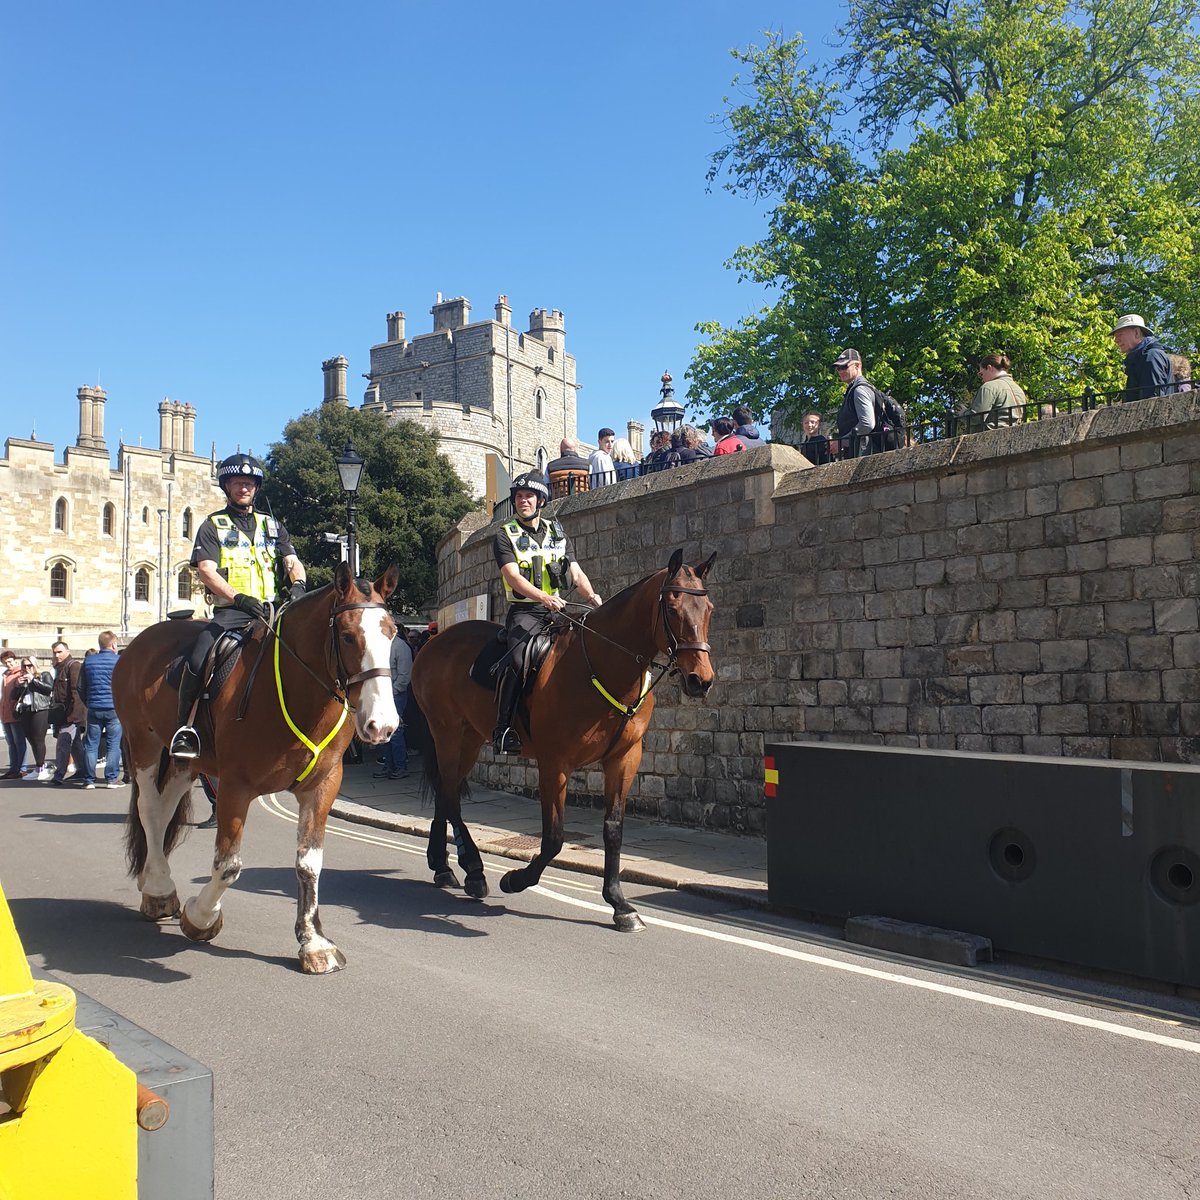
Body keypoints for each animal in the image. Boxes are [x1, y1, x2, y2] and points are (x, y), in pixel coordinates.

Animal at [114, 562, 400, 974]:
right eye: (347, 636)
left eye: (392, 633)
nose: (382, 725)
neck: (296, 692)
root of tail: (139, 642)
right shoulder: (235, 786)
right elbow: (228, 865)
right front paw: (201, 917)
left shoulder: (323, 786)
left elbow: (309, 863)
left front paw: (314, 942)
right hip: (145, 745)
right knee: (150, 811)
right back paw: (159, 890)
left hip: (185, 763)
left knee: (164, 811)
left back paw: (157, 884)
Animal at [410, 548, 716, 932]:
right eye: (673, 608)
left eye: (709, 609)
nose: (700, 680)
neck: (602, 664)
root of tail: (436, 640)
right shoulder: (554, 763)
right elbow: (554, 838)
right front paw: (515, 879)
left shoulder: (624, 758)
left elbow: (613, 830)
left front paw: (619, 904)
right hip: (447, 732)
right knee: (449, 794)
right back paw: (475, 870)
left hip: (469, 738)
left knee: (445, 792)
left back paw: (444, 867)